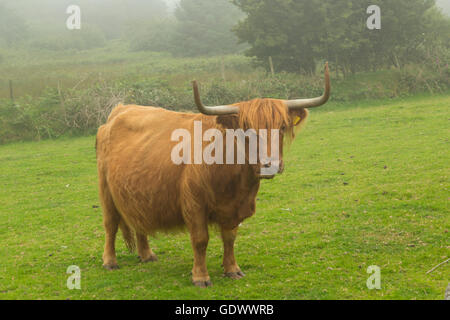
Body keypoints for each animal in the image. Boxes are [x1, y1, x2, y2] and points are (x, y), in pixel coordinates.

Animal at [96, 62, 330, 288]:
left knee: (138, 219)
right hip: (106, 191)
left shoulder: (234, 208)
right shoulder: (194, 204)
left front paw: (232, 269)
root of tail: (120, 109)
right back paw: (109, 261)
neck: (235, 182)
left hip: (136, 192)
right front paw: (200, 276)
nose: (270, 164)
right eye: (247, 130)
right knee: (110, 224)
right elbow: (200, 240)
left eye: (281, 127)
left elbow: (230, 238)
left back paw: (146, 255)